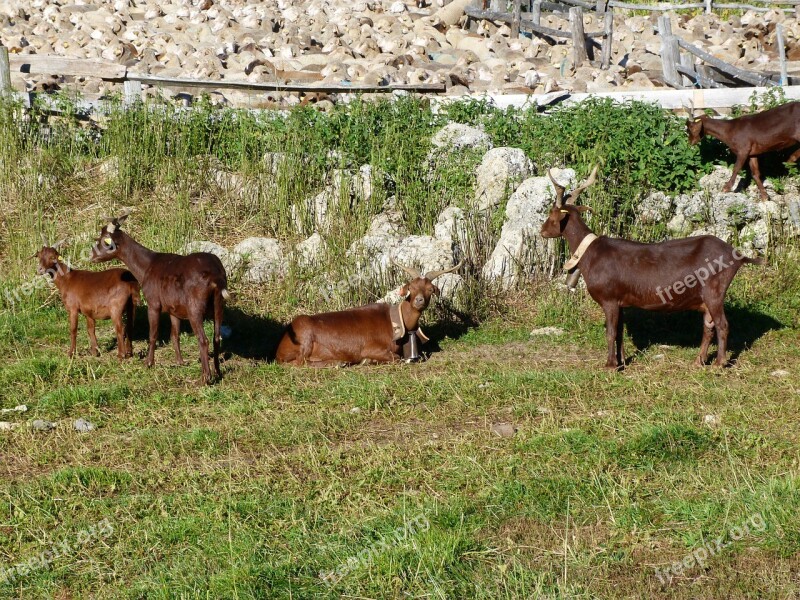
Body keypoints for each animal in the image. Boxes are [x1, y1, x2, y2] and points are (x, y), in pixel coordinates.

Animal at [91, 214, 228, 384]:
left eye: (104, 239)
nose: (91, 256)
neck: (147, 266)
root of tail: (215, 275)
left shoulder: (153, 303)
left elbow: (153, 334)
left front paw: (148, 363)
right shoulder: (174, 309)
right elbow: (174, 335)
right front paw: (180, 362)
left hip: (195, 309)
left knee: (203, 340)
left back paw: (205, 378)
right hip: (219, 305)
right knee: (216, 338)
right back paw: (218, 372)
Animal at [276, 262, 462, 368]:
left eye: (430, 289)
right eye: (411, 288)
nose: (419, 300)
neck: (394, 321)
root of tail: (279, 349)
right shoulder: (370, 348)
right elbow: (395, 357)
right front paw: (368, 361)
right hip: (304, 336)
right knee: (299, 362)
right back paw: (337, 363)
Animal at [536, 166, 764, 368]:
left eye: (552, 213)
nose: (542, 231)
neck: (589, 253)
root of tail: (738, 256)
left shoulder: (609, 299)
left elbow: (610, 332)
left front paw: (610, 365)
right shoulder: (620, 301)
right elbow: (619, 332)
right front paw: (621, 362)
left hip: (714, 291)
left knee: (722, 325)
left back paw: (719, 363)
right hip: (707, 297)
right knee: (708, 326)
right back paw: (699, 362)